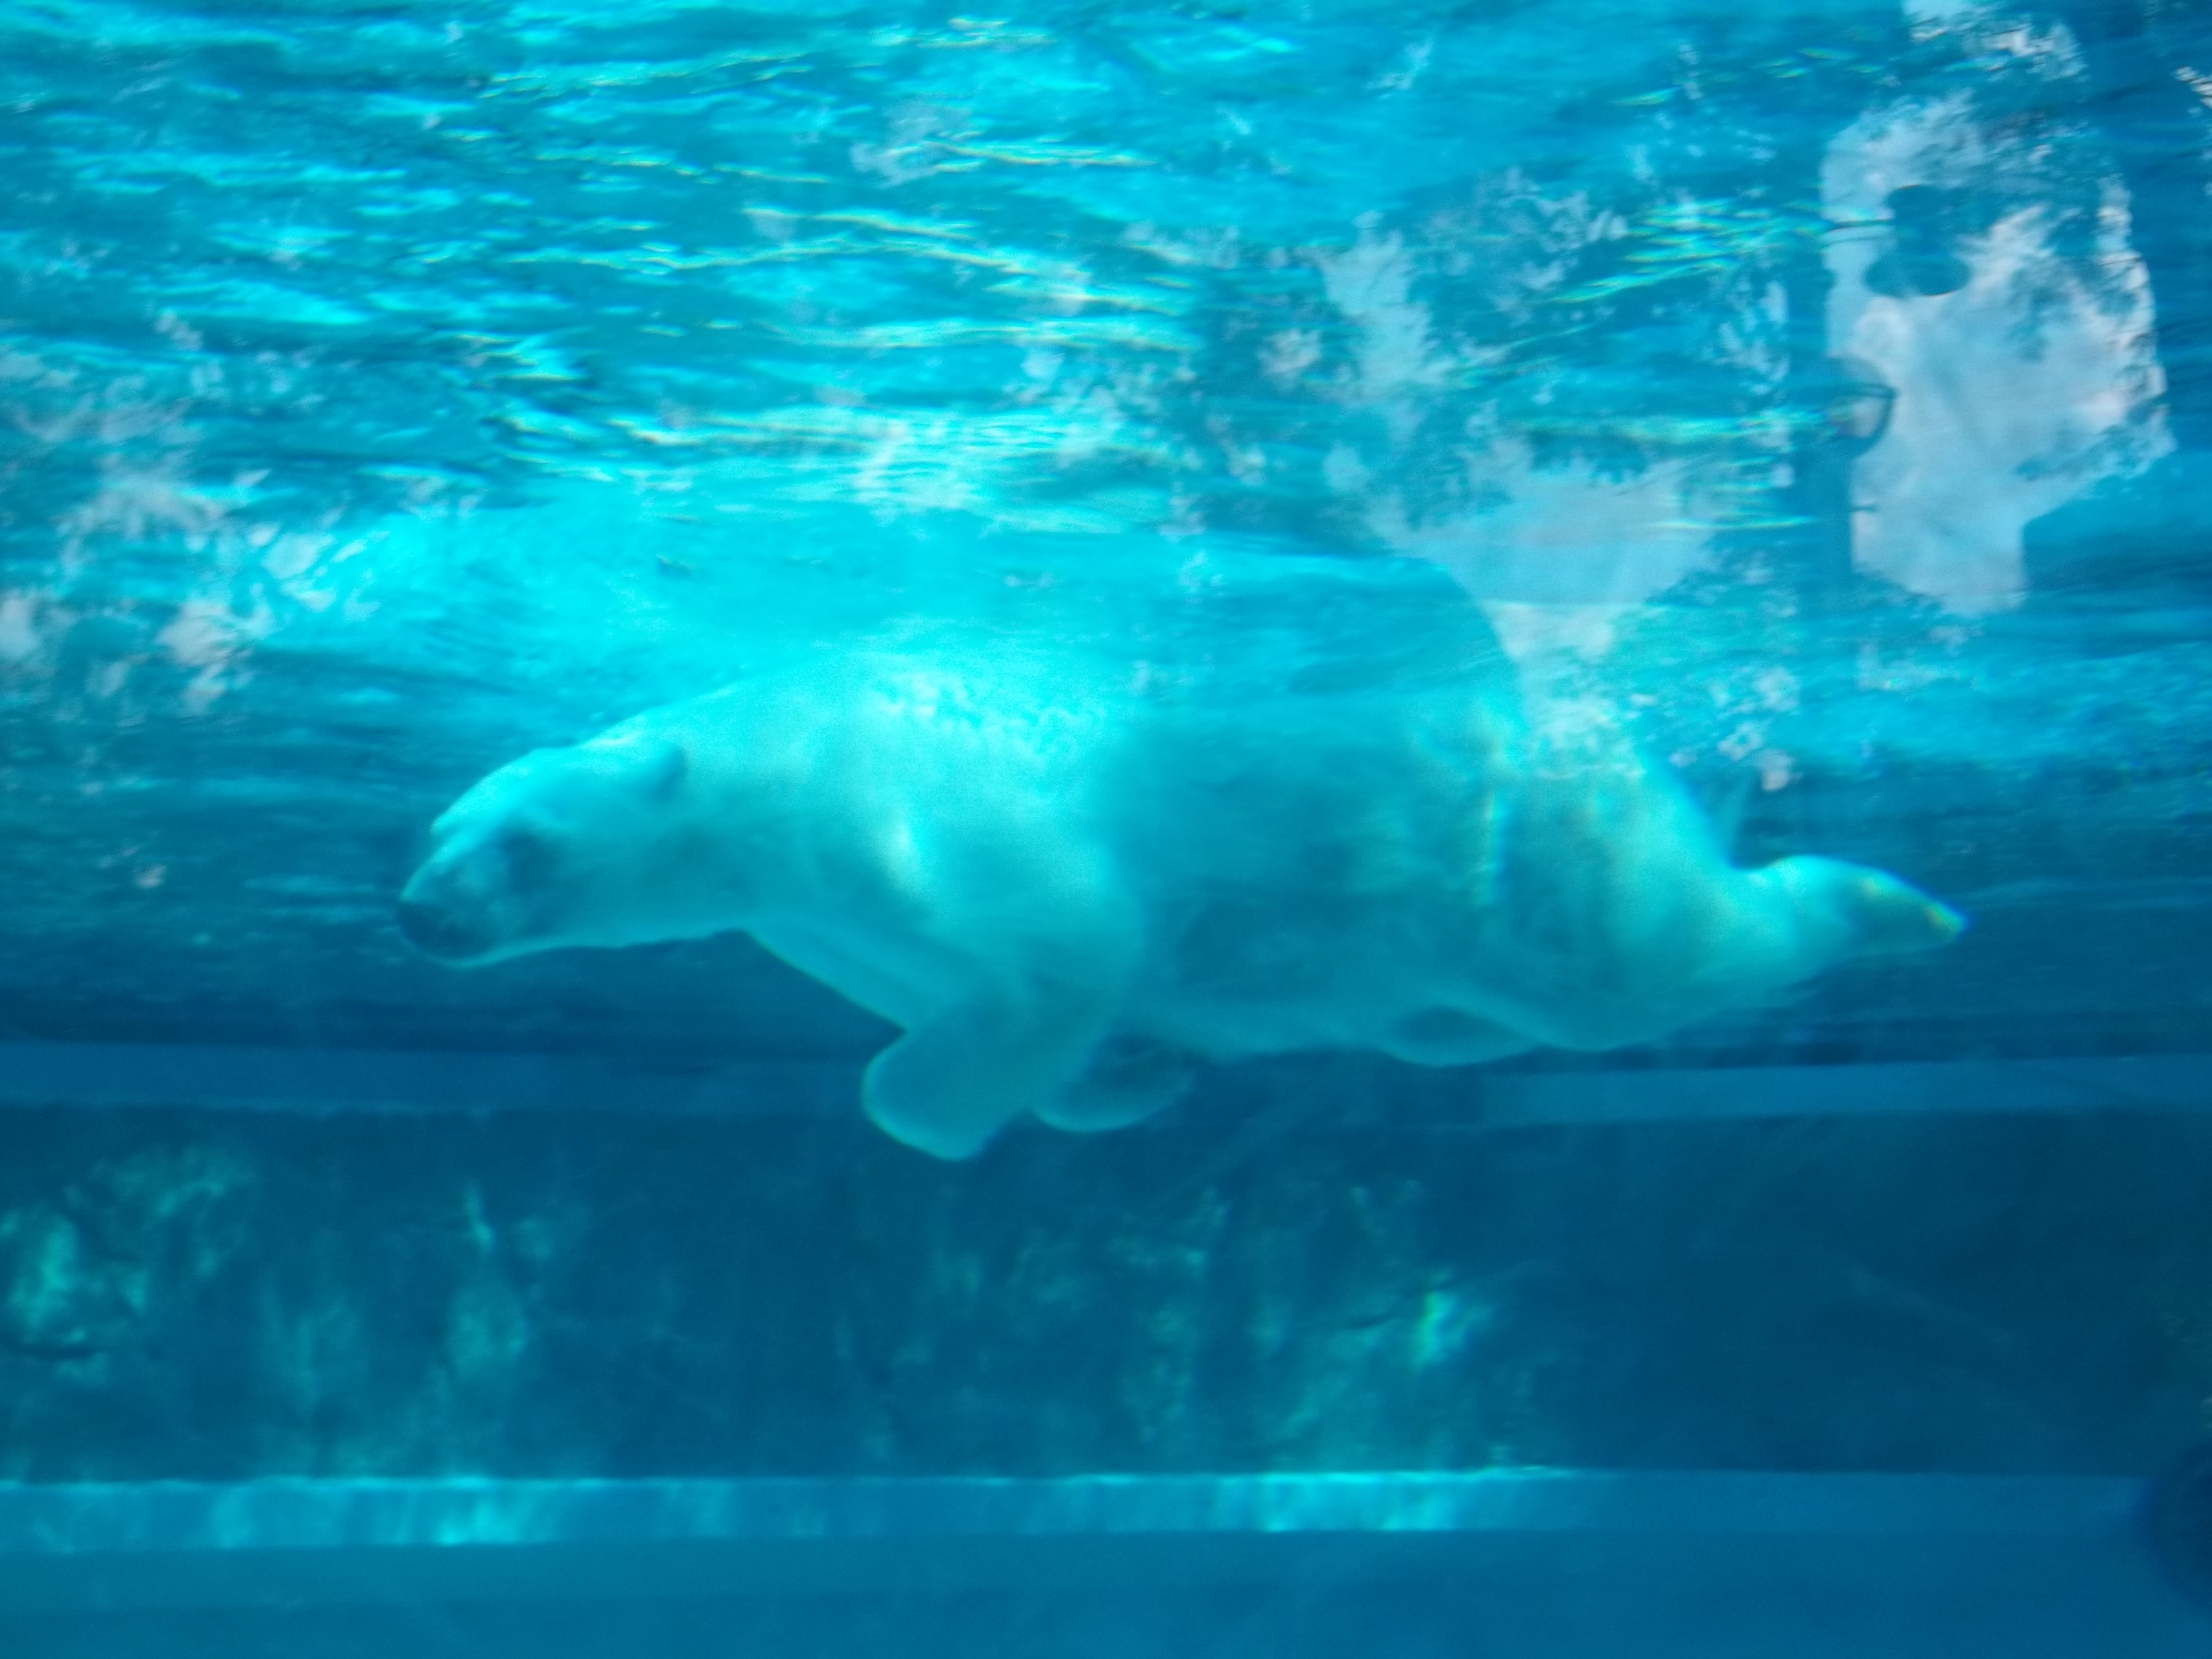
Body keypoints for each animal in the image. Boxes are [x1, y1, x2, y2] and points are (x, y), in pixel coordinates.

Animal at [406, 641, 1964, 1159]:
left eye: (522, 843)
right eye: (435, 825)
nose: (421, 915)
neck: (787, 753)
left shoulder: (912, 822)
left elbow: (1064, 953)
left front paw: (954, 1105)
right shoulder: (827, 927)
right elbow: (1051, 1019)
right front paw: (1144, 1074)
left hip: (1544, 869)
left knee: (1660, 962)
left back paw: (1903, 905)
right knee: (1442, 1021)